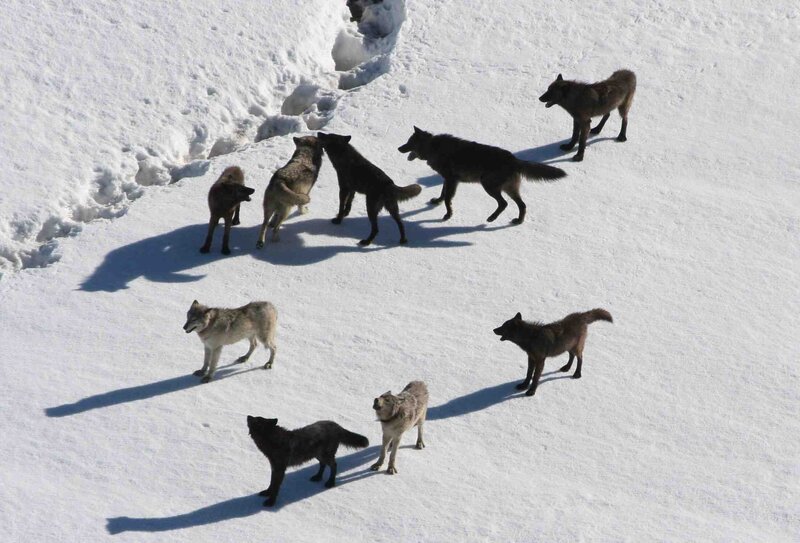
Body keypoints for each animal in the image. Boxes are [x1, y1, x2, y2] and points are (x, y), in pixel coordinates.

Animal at [397, 127, 566, 223]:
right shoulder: (448, 179)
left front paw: (448, 215)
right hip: (509, 189)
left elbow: (447, 199)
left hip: (488, 185)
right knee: (522, 205)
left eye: (409, 142)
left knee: (504, 203)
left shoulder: (452, 180)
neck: (433, 147)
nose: (399, 148)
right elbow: (443, 194)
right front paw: (436, 202)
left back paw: (492, 218)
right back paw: (518, 221)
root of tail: (514, 159)